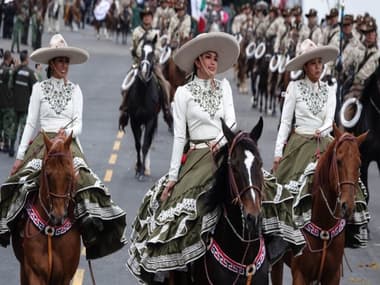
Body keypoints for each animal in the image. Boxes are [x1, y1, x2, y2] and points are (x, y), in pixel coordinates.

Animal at [12, 133, 80, 284]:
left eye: (69, 175)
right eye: (48, 175)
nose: (58, 216)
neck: (51, 231)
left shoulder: (65, 276)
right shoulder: (34, 273)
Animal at [118, 35, 167, 180]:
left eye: (152, 54)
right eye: (140, 53)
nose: (144, 70)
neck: (143, 93)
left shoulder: (150, 120)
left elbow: (145, 145)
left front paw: (142, 170)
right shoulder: (135, 121)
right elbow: (138, 145)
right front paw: (138, 168)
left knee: (149, 142)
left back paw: (147, 168)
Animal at [272, 126, 366, 284]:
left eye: (359, 164)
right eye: (338, 161)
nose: (347, 206)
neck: (324, 227)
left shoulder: (333, 276)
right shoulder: (300, 274)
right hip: (277, 263)